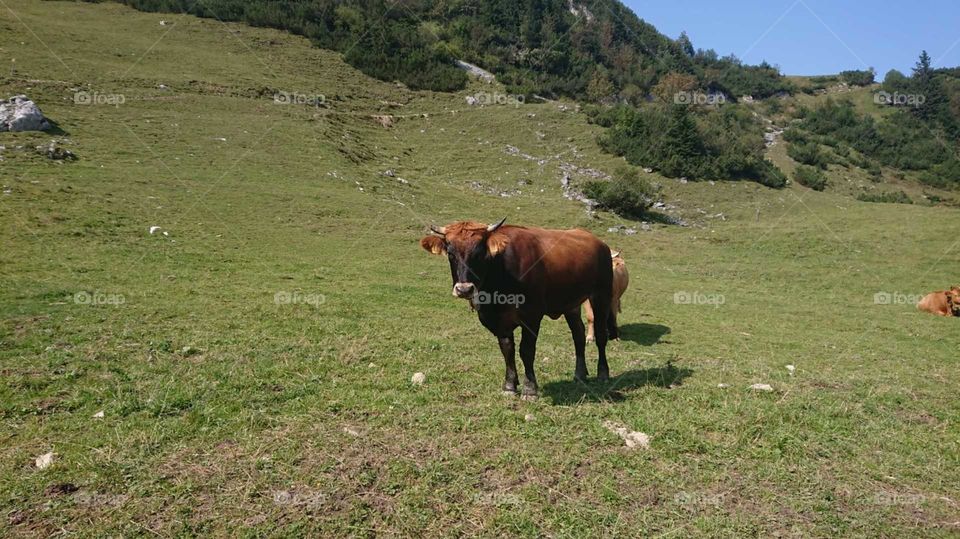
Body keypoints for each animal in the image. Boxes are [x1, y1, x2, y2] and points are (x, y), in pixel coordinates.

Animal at [420, 219, 615, 398]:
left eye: (480, 252)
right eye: (450, 253)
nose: (464, 289)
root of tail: (601, 243)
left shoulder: (532, 315)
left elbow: (526, 350)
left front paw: (530, 388)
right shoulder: (498, 320)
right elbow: (507, 350)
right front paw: (509, 386)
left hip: (601, 295)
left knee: (600, 335)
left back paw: (603, 373)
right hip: (571, 304)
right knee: (578, 335)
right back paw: (580, 374)